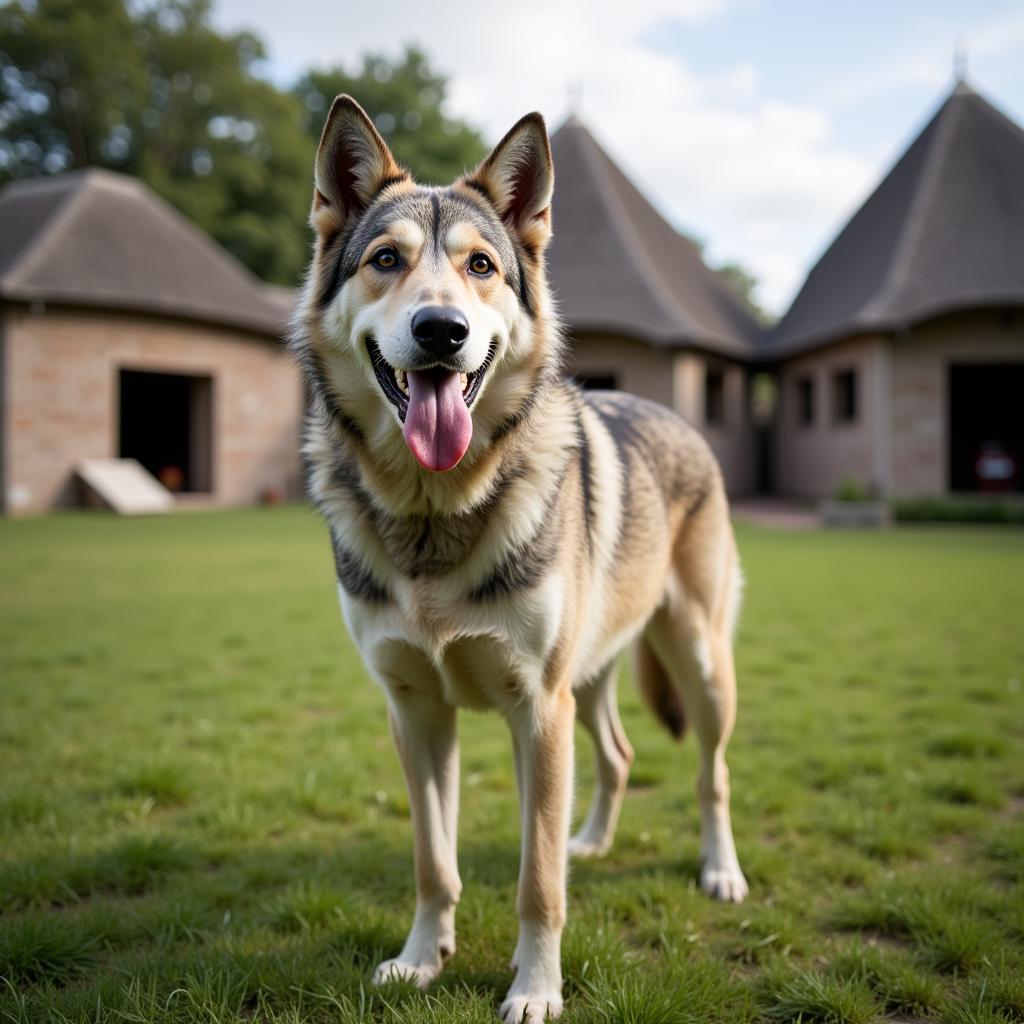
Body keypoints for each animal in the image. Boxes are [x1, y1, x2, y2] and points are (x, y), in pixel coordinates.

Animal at [288, 96, 745, 1024]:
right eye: (386, 261)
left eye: (482, 267)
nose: (442, 330)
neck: (434, 515)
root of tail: (671, 411)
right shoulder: (416, 711)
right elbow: (434, 861)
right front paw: (421, 959)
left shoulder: (538, 710)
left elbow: (539, 880)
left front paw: (536, 989)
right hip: (592, 682)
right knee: (621, 756)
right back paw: (594, 841)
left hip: (697, 665)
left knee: (711, 777)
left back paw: (719, 870)